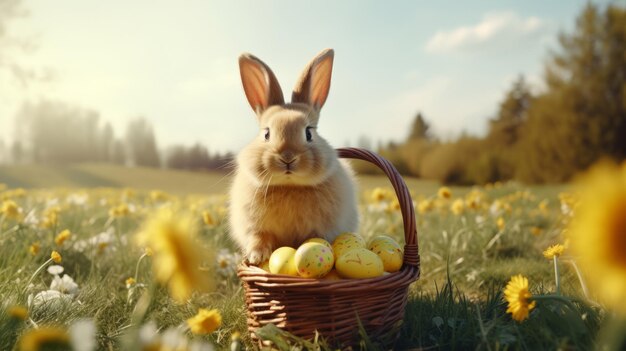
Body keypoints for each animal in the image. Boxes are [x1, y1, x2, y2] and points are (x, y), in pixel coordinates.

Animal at [228, 48, 356, 264]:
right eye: (266, 134)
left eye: (309, 133)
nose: (287, 157)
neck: (289, 185)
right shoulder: (255, 227)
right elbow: (259, 238)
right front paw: (256, 257)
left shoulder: (322, 228)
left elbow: (315, 239)